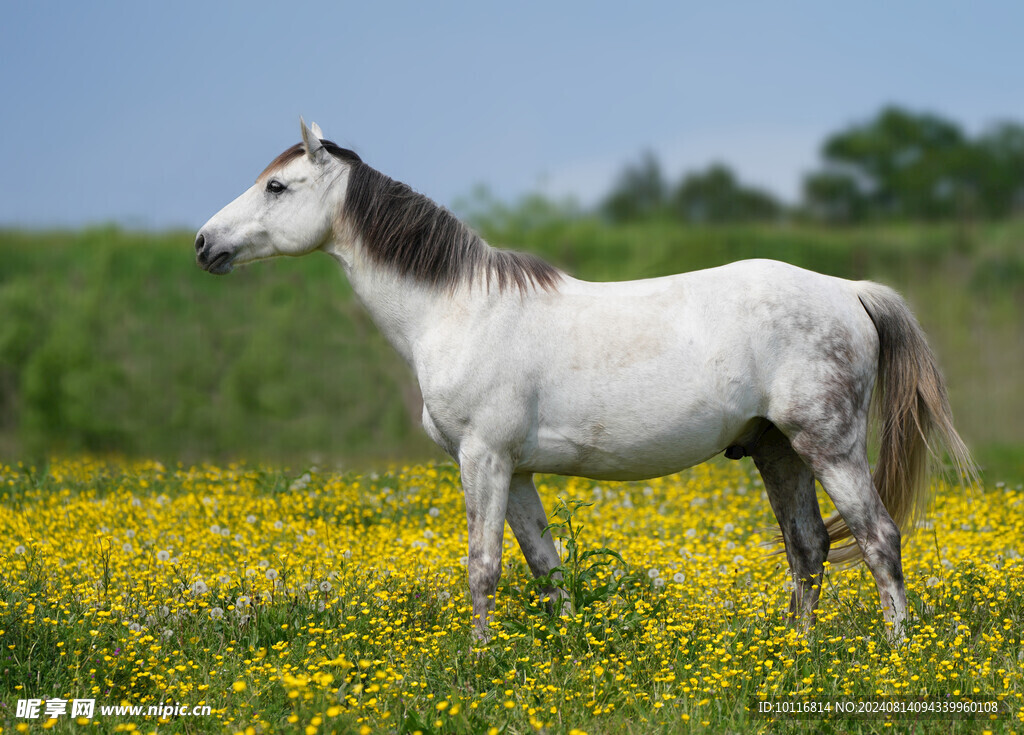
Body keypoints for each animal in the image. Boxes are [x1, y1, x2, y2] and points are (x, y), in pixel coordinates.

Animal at [197, 118, 974, 642]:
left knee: (878, 538)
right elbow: (545, 565)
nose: (205, 244)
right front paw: (567, 652)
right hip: (778, 449)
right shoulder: (515, 471)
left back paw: (893, 652)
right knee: (809, 547)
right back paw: (800, 652)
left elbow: (483, 565)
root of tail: (850, 291)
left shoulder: (483, 459)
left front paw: (479, 660)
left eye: (277, 185)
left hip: (829, 446)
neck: (458, 309)